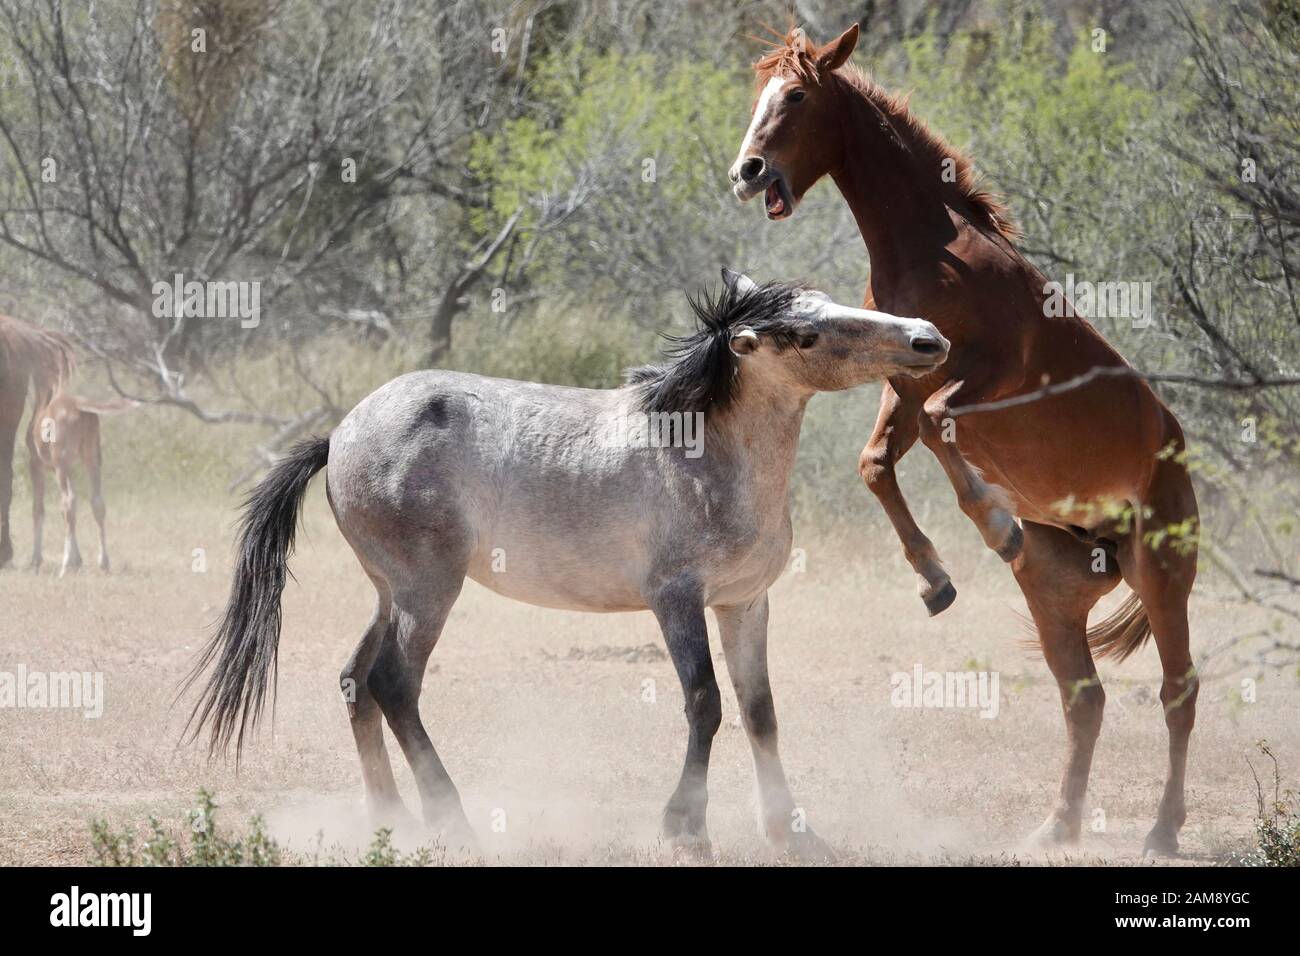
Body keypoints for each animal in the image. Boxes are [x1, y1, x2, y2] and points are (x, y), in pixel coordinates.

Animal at [185, 270, 946, 858]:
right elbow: (705, 702)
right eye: (805, 333)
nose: (926, 338)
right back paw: (454, 822)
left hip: (389, 593)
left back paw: (392, 821)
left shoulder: (744, 602)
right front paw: (686, 829)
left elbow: (760, 711)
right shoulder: (677, 599)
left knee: (354, 681)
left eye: (829, 300)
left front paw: (794, 832)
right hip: (428, 591)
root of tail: (341, 432)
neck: (705, 450)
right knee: (394, 684)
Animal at [733, 24, 1196, 858]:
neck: (936, 249)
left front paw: (992, 522)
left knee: (1179, 694)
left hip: (1163, 573)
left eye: (797, 95)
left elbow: (941, 425)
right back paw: (1056, 827)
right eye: (761, 93)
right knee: (1084, 699)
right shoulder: (903, 382)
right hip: (1055, 596)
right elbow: (876, 462)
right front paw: (935, 578)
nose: (746, 172)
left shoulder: (986, 376)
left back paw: (1162, 832)